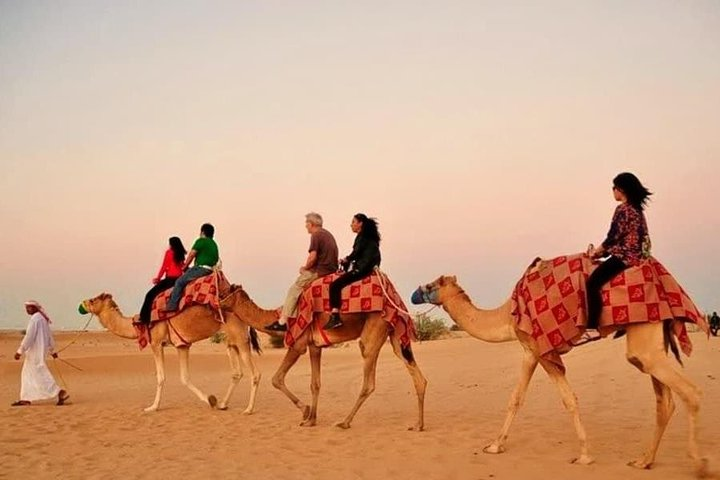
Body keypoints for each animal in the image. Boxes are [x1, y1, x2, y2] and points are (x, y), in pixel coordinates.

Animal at [79, 293, 261, 413]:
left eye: (93, 299)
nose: (82, 304)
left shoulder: (156, 343)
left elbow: (161, 377)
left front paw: (152, 407)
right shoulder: (182, 345)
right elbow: (185, 377)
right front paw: (212, 400)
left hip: (240, 338)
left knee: (255, 374)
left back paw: (249, 409)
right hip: (231, 342)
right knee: (237, 372)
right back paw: (224, 404)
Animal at [220, 284, 427, 430]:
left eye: (222, 293)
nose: (216, 303)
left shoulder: (298, 343)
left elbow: (276, 378)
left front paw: (305, 411)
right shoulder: (314, 346)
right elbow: (315, 383)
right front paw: (311, 419)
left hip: (374, 330)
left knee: (369, 381)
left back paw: (344, 422)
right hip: (395, 337)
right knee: (418, 377)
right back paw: (418, 425)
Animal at [411, 275, 709, 477]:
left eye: (431, 285)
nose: (414, 294)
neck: (507, 314)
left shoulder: (537, 349)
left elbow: (549, 398)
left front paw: (495, 446)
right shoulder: (535, 351)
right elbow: (535, 398)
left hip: (645, 341)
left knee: (691, 392)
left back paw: (700, 464)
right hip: (649, 344)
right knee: (665, 401)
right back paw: (644, 460)